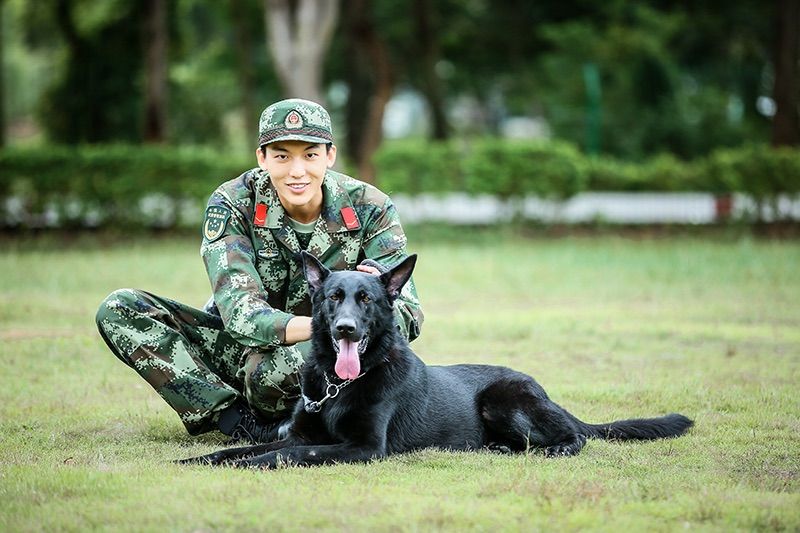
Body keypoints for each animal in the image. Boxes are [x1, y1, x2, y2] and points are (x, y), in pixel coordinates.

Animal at [178, 251, 692, 468]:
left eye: (366, 300)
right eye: (333, 298)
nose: (345, 329)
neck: (341, 386)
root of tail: (541, 389)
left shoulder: (365, 448)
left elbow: (291, 452)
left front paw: (258, 463)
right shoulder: (304, 430)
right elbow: (247, 448)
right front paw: (207, 459)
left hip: (503, 401)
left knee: (574, 438)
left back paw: (554, 448)